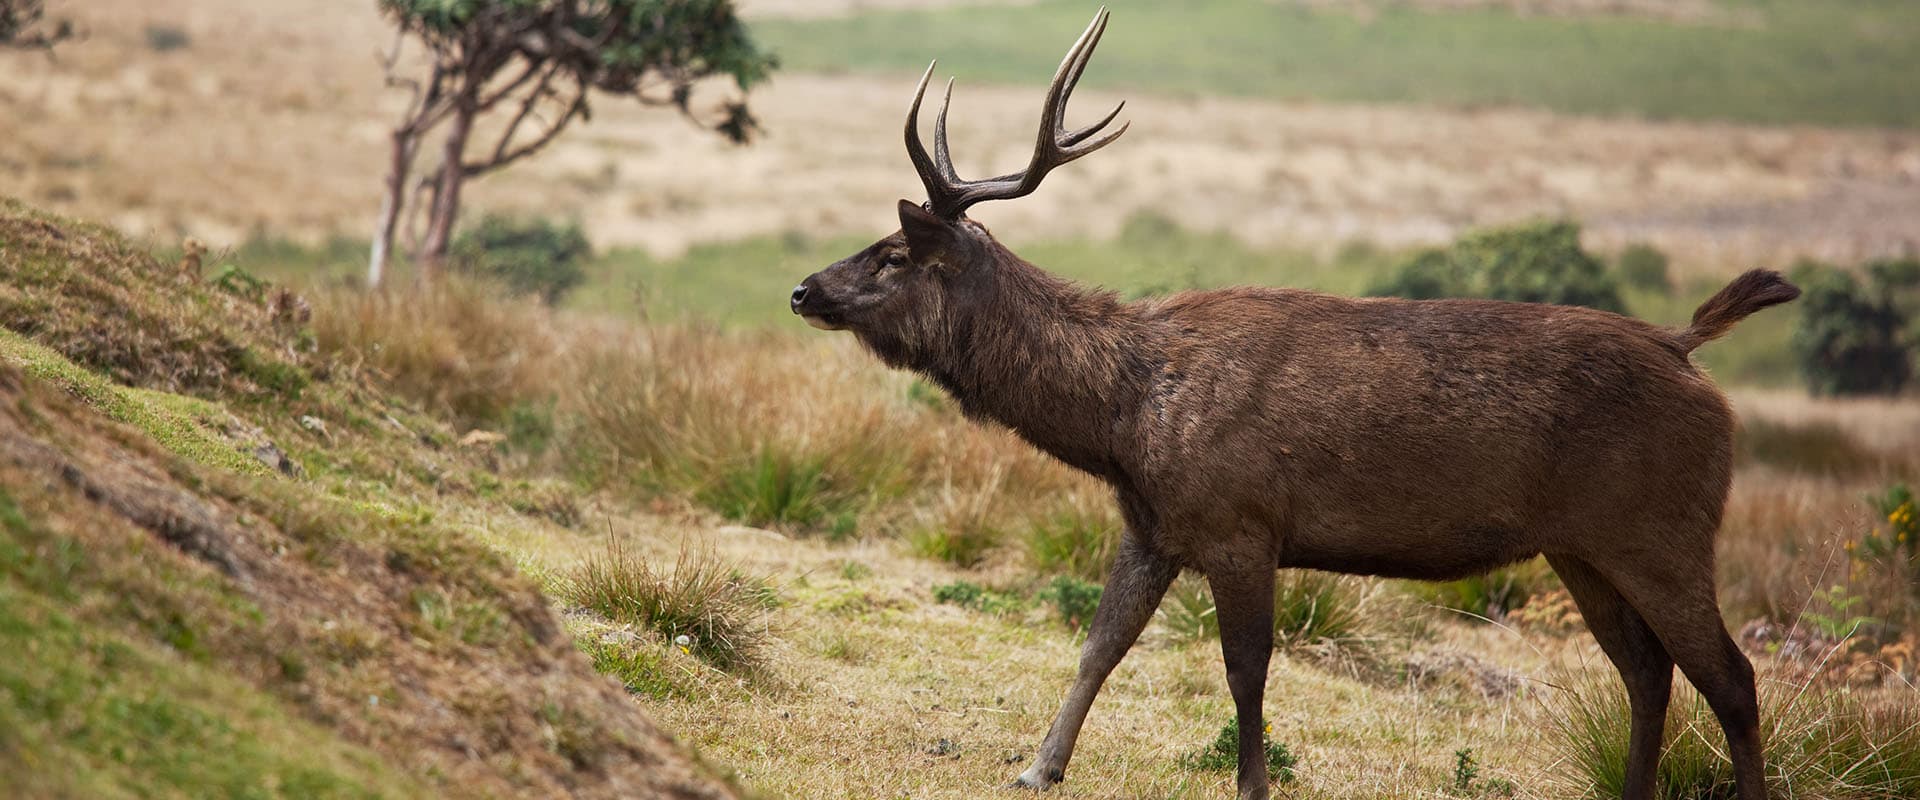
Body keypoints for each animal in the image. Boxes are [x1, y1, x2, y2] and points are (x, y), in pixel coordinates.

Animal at [787, 7, 1789, 798]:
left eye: (892, 253)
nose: (802, 291)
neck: (1124, 417)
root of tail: (1686, 347)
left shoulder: (1242, 521)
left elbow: (1245, 672)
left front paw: (1250, 784)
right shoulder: (1156, 523)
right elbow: (1099, 644)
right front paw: (1038, 767)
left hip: (1662, 524)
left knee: (1731, 677)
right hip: (1581, 545)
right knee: (1649, 674)